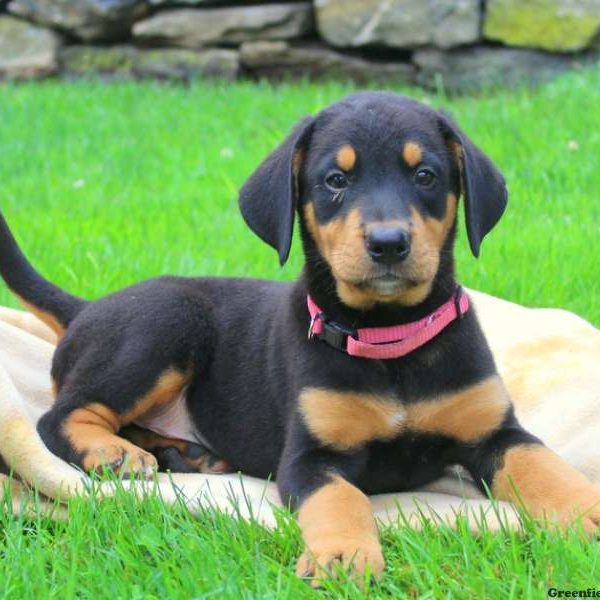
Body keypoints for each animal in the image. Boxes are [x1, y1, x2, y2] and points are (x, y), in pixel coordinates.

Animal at [1, 91, 600, 584]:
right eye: (336, 181)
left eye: (426, 176)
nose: (388, 243)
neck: (387, 341)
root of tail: (87, 308)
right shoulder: (310, 457)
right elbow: (340, 498)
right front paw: (345, 555)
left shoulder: (496, 433)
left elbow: (544, 467)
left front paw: (588, 509)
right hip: (167, 320)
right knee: (58, 416)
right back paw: (112, 452)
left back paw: (185, 454)